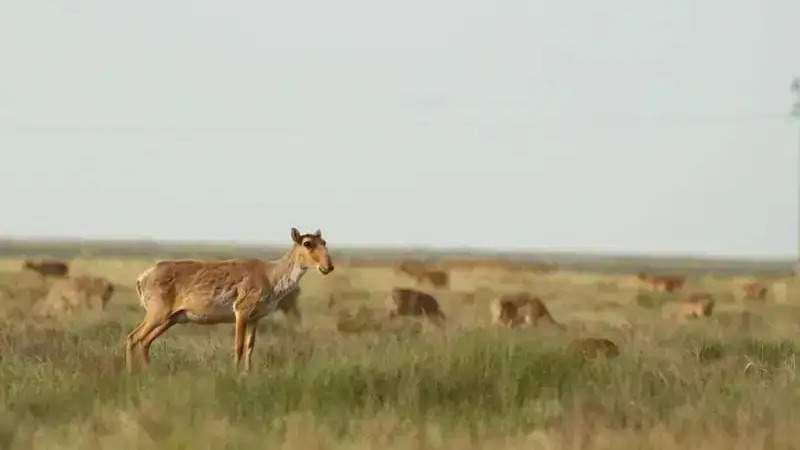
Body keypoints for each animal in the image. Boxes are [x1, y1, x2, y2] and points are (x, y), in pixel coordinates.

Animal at [124, 229, 334, 372]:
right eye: (307, 243)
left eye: (324, 241)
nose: (328, 267)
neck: (271, 275)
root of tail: (142, 278)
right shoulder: (241, 312)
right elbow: (238, 346)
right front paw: (235, 374)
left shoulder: (255, 318)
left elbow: (250, 347)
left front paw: (247, 374)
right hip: (157, 314)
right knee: (134, 337)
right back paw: (131, 373)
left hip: (171, 319)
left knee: (145, 341)